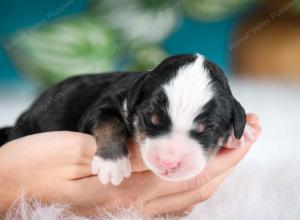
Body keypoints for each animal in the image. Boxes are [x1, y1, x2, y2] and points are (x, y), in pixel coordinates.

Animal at [0, 53, 253, 186]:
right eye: (150, 119)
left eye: (206, 129)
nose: (168, 163)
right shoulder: (101, 106)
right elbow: (109, 123)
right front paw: (112, 162)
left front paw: (241, 134)